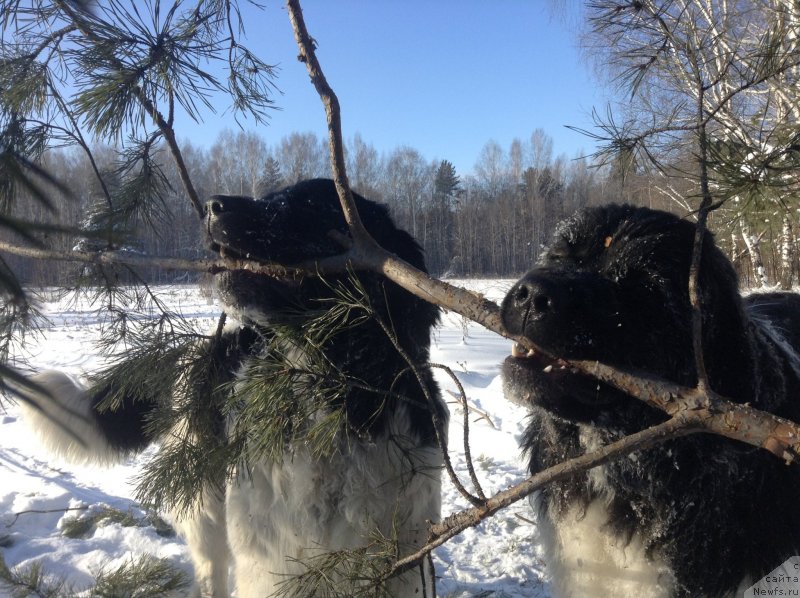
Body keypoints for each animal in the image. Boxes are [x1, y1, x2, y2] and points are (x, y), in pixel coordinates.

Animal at [15, 180, 446, 598]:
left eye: (309, 202)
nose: (211, 205)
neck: (333, 401)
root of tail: (207, 345)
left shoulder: (398, 563)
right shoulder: (273, 563)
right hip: (205, 503)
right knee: (211, 570)